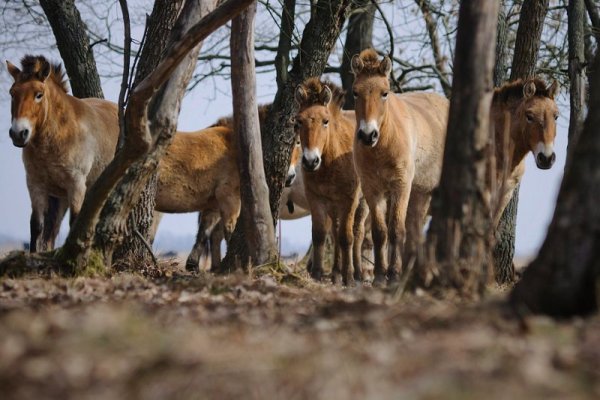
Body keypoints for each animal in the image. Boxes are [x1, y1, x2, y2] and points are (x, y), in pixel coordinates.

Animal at [5, 54, 119, 252]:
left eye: (39, 95)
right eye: (13, 93)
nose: (19, 133)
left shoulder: (76, 185)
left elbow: (74, 224)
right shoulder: (36, 185)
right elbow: (36, 226)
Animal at [292, 77, 368, 284]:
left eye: (325, 121)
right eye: (298, 121)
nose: (310, 161)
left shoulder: (349, 200)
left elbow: (346, 237)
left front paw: (349, 277)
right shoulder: (315, 198)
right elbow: (319, 235)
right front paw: (317, 273)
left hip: (362, 203)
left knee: (357, 233)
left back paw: (357, 273)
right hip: (333, 206)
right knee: (334, 232)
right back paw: (335, 272)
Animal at [350, 49, 448, 284]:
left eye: (384, 93)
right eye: (355, 92)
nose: (367, 135)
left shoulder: (401, 186)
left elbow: (396, 230)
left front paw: (393, 274)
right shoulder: (372, 189)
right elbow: (380, 232)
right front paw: (379, 276)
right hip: (421, 194)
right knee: (416, 230)